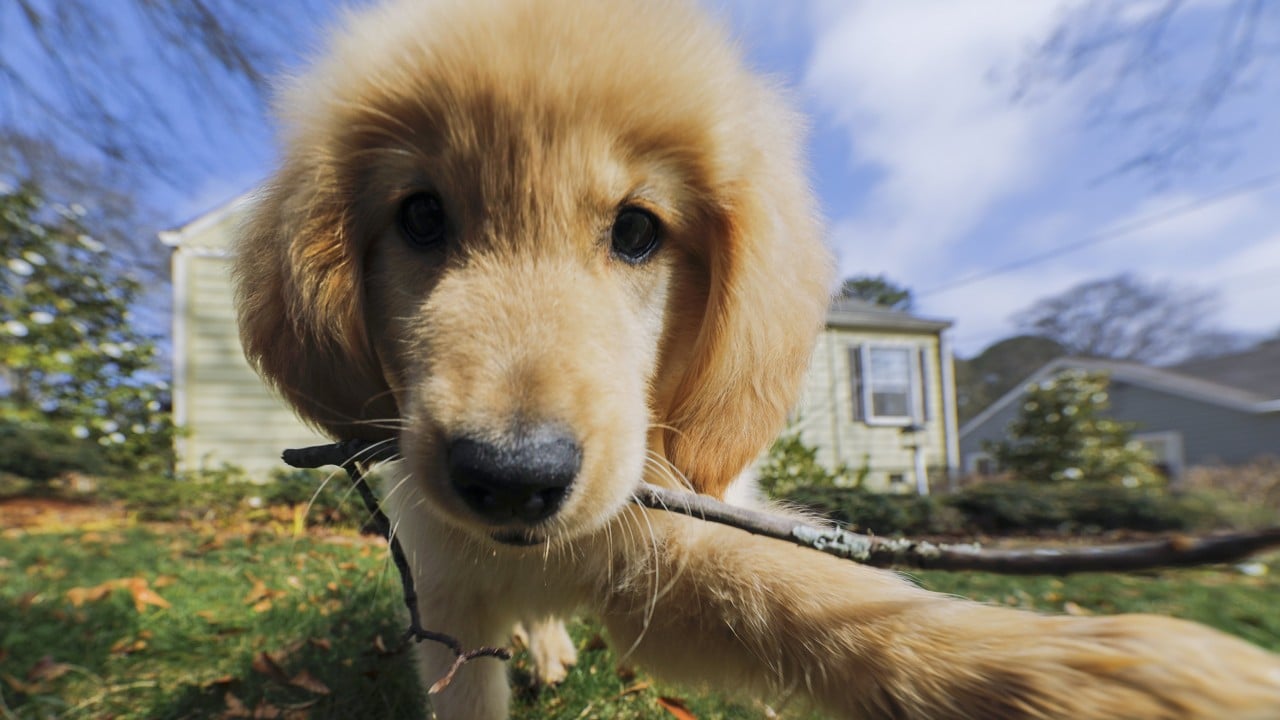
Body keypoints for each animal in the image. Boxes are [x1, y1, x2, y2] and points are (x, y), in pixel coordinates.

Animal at [232, 0, 1280, 712]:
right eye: (420, 218)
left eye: (638, 231)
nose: (513, 479)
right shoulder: (449, 601)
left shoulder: (667, 533)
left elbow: (812, 596)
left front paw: (1109, 676)